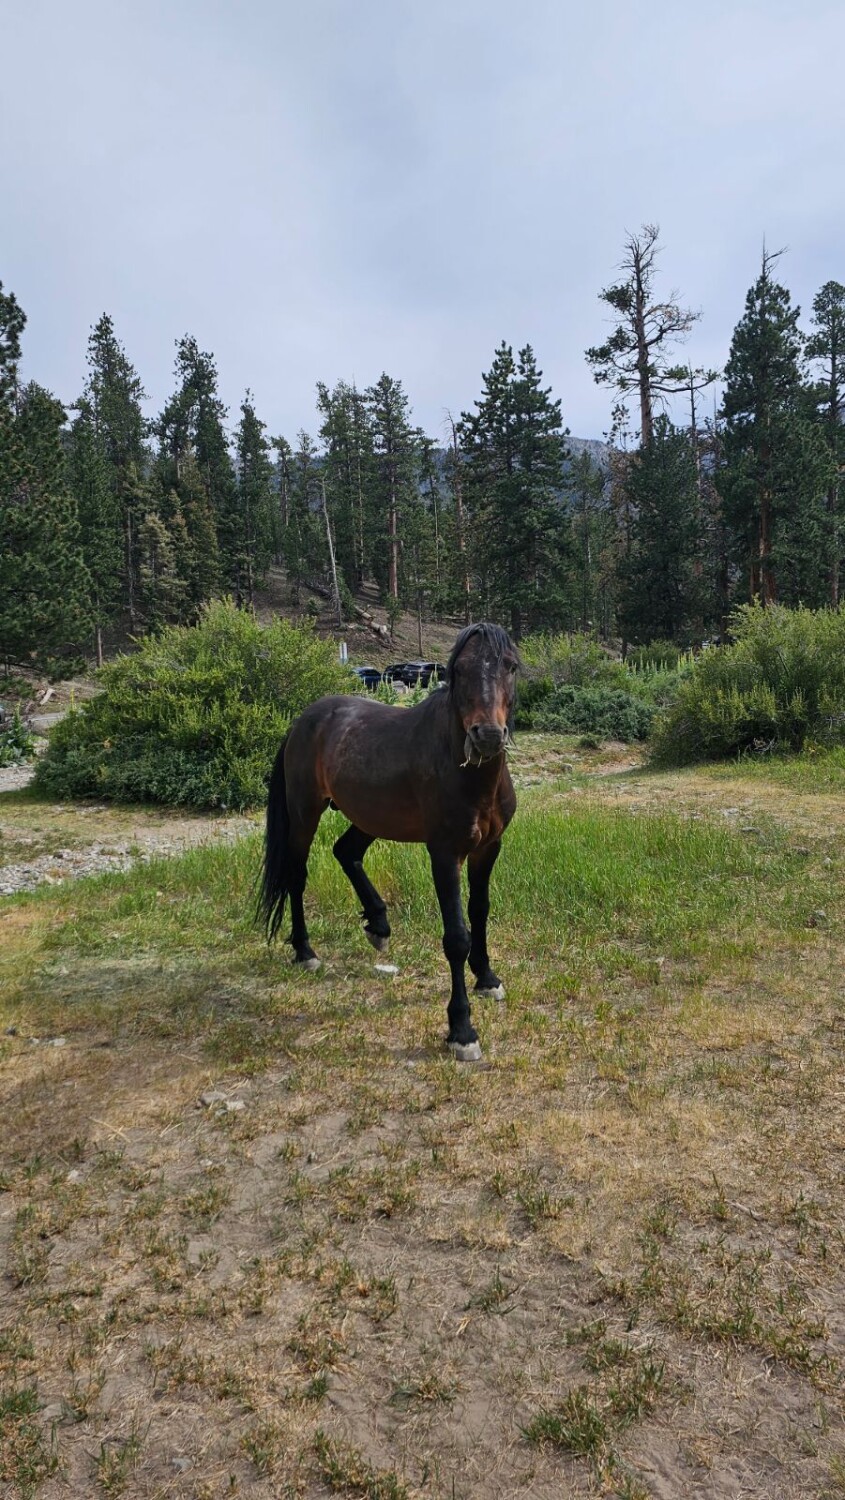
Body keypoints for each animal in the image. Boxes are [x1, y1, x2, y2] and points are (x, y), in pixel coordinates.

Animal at [258, 622, 518, 1062]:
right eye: (459, 670)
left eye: (510, 666)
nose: (486, 735)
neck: (466, 772)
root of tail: (303, 720)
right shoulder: (444, 854)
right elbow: (456, 937)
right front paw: (461, 1030)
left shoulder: (488, 849)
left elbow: (480, 912)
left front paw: (487, 978)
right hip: (305, 815)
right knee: (297, 876)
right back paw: (306, 952)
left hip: (369, 817)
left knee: (345, 852)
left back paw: (378, 924)